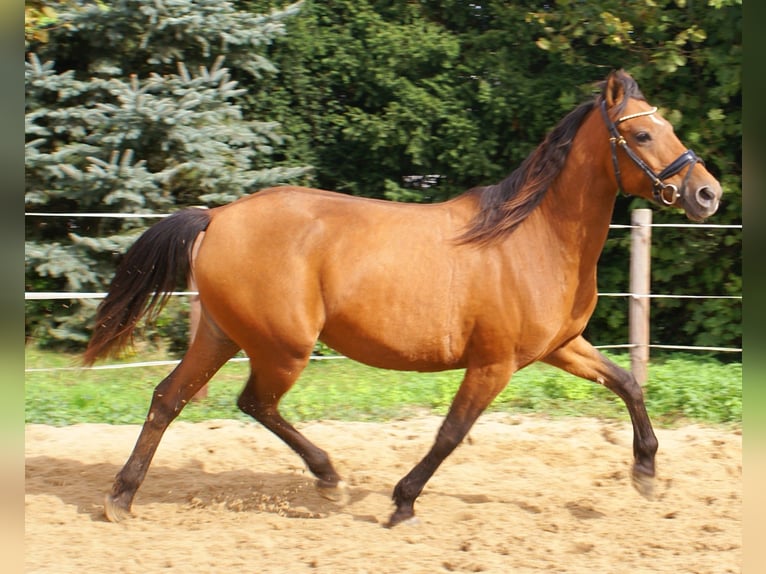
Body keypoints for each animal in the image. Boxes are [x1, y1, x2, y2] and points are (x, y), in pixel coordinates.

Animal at [85, 70, 728, 528]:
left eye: (668, 127)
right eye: (642, 133)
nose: (707, 194)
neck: (533, 238)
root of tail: (216, 216)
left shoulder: (561, 346)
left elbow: (629, 384)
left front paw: (645, 472)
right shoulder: (493, 363)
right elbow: (450, 433)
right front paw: (401, 503)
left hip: (224, 334)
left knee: (169, 398)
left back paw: (122, 498)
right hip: (282, 346)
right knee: (253, 403)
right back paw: (329, 478)